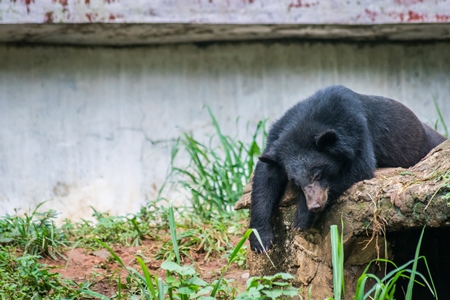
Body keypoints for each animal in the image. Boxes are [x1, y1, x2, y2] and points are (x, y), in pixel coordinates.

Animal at [250, 85, 446, 253]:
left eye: (318, 174)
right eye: (296, 182)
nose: (315, 205)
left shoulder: (356, 128)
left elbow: (359, 168)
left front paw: (300, 220)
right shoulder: (277, 139)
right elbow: (264, 178)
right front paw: (261, 241)